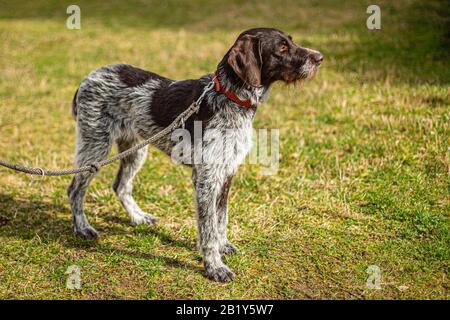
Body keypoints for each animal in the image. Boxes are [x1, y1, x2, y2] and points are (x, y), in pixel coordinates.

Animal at [68, 28, 322, 282]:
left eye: (291, 41)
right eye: (282, 48)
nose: (320, 58)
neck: (230, 96)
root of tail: (87, 79)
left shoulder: (226, 174)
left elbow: (221, 219)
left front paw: (223, 246)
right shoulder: (207, 180)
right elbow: (208, 228)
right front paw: (214, 266)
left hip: (136, 150)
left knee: (121, 185)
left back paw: (138, 217)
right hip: (96, 146)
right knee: (75, 190)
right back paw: (82, 227)